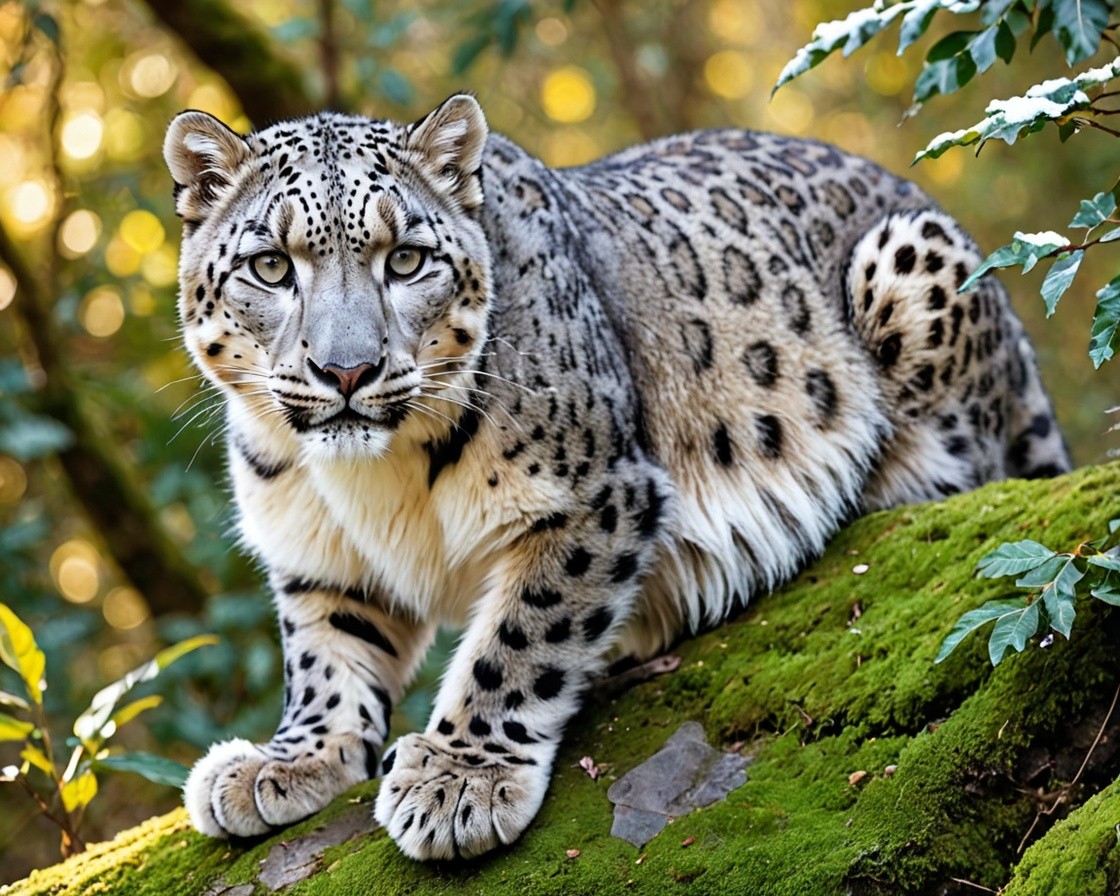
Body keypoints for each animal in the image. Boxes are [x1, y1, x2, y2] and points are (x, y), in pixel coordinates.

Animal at [163, 94, 1070, 861]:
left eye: (409, 259)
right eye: (271, 267)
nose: (347, 370)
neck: (369, 480)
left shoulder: (596, 493)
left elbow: (522, 634)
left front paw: (459, 778)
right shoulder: (317, 556)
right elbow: (325, 656)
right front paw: (285, 762)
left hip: (911, 270)